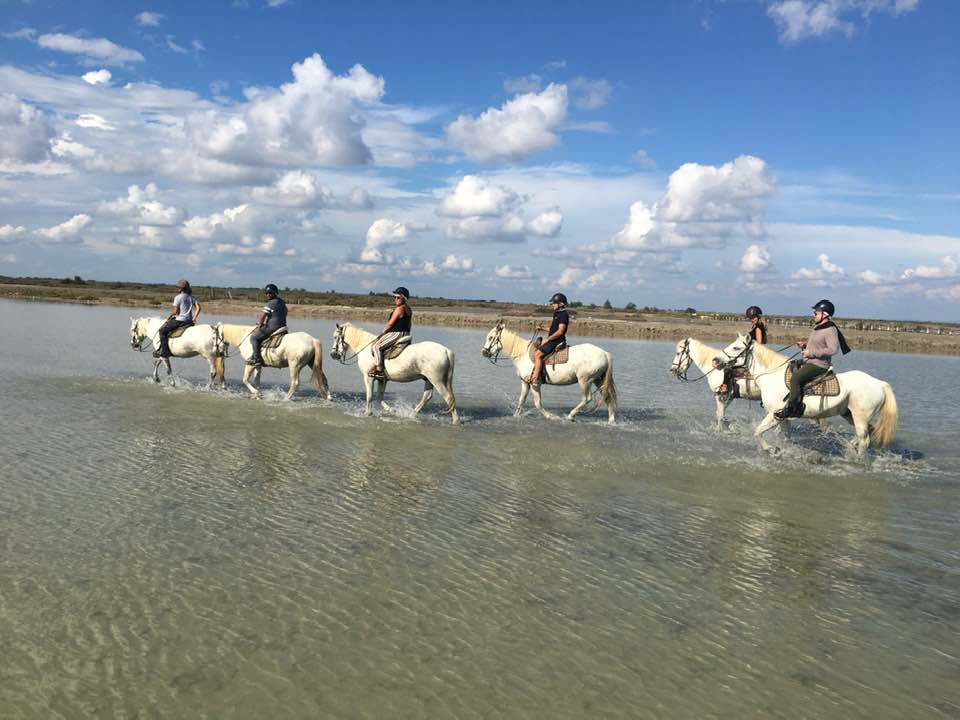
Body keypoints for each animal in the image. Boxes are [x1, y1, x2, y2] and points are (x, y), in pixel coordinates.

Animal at [330, 320, 458, 422]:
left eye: (336, 337)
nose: (333, 354)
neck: (365, 347)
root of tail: (446, 350)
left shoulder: (368, 377)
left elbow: (370, 396)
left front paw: (368, 413)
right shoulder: (382, 380)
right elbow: (379, 397)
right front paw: (391, 410)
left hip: (437, 380)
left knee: (448, 398)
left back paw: (455, 421)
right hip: (428, 379)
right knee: (427, 397)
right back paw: (412, 414)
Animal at [484, 320, 620, 422]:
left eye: (491, 338)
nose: (484, 352)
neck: (523, 354)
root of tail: (604, 353)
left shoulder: (535, 384)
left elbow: (538, 403)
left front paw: (551, 416)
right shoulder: (525, 383)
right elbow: (521, 400)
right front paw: (516, 416)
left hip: (585, 381)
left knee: (587, 398)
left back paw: (571, 416)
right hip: (599, 380)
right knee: (607, 398)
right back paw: (611, 421)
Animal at [720, 332, 900, 456]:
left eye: (736, 347)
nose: (717, 360)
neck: (772, 374)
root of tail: (879, 383)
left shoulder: (774, 414)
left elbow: (757, 432)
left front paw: (771, 449)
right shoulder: (783, 417)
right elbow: (786, 436)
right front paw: (786, 450)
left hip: (859, 416)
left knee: (864, 439)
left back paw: (857, 460)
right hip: (848, 414)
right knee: (867, 432)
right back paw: (850, 447)